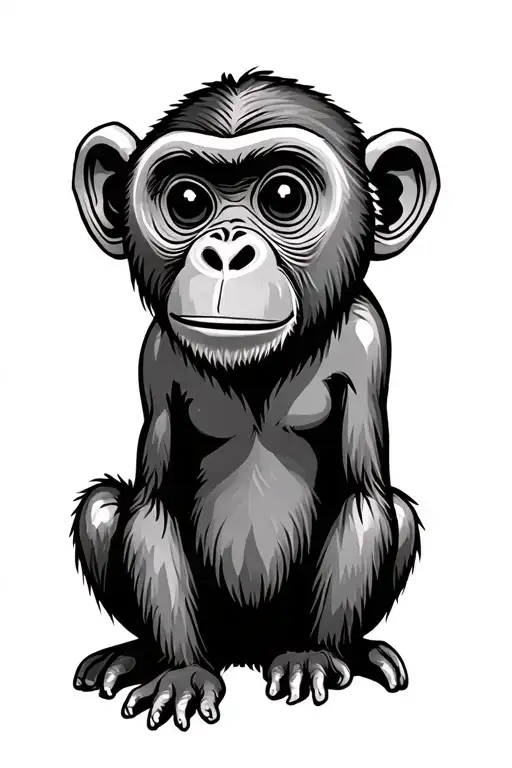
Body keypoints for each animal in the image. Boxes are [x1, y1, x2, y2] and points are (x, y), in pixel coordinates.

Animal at [71, 70, 440, 732]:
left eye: (285, 196)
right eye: (188, 202)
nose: (225, 250)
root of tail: (246, 650)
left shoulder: (369, 341)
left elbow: (364, 497)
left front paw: (314, 655)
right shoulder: (156, 358)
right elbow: (152, 505)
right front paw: (181, 674)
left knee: (396, 510)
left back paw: (355, 650)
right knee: (103, 508)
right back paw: (135, 653)